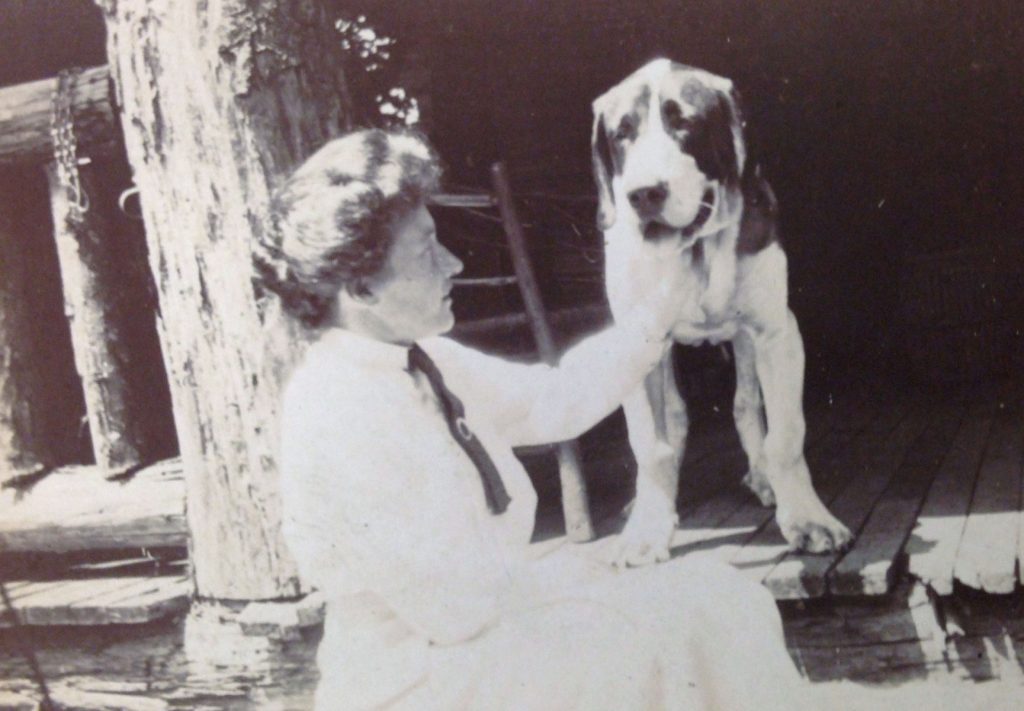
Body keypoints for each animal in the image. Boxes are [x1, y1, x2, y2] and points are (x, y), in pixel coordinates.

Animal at [598, 58, 851, 569]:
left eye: (685, 123)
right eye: (621, 133)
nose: (644, 194)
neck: (696, 253)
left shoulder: (777, 333)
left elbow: (785, 434)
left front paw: (808, 518)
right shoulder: (638, 348)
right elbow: (650, 444)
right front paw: (648, 528)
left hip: (748, 343)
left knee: (747, 406)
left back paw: (762, 477)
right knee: (675, 417)